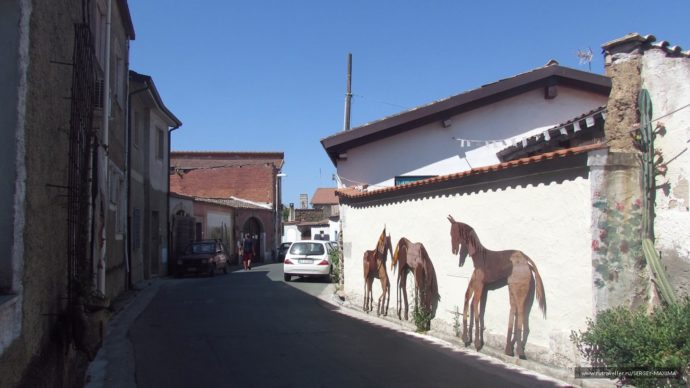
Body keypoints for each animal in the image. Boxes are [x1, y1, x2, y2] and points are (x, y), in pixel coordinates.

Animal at [446, 215, 544, 358]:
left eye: (455, 233)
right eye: (450, 233)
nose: (454, 251)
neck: (479, 258)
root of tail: (526, 260)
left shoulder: (480, 285)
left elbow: (475, 306)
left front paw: (477, 343)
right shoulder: (476, 283)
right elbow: (468, 300)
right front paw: (466, 338)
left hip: (519, 288)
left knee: (520, 311)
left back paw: (519, 351)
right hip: (511, 287)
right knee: (513, 309)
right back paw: (509, 349)